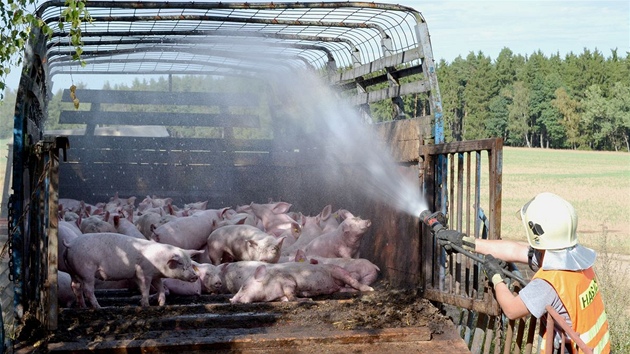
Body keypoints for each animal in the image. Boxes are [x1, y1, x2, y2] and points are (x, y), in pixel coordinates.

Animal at [63, 232, 201, 306]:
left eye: (190, 263)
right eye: (181, 264)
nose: (195, 276)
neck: (159, 262)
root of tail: (70, 244)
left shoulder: (155, 275)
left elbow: (160, 288)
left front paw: (161, 304)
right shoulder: (143, 273)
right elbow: (145, 288)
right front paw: (146, 305)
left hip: (73, 272)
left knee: (75, 286)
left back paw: (83, 306)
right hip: (87, 271)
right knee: (88, 290)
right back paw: (98, 307)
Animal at [231, 262, 376, 302]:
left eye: (244, 286)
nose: (231, 299)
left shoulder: (288, 281)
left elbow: (291, 294)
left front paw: (306, 299)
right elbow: (286, 298)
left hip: (338, 272)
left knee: (353, 281)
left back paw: (370, 289)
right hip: (340, 286)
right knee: (346, 288)